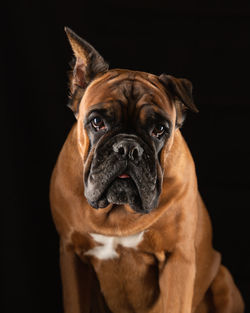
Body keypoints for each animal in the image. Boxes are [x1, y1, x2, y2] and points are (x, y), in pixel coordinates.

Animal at [49, 27, 244, 312]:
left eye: (159, 129)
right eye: (97, 122)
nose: (128, 148)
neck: (118, 214)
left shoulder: (178, 259)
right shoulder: (71, 254)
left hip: (223, 279)